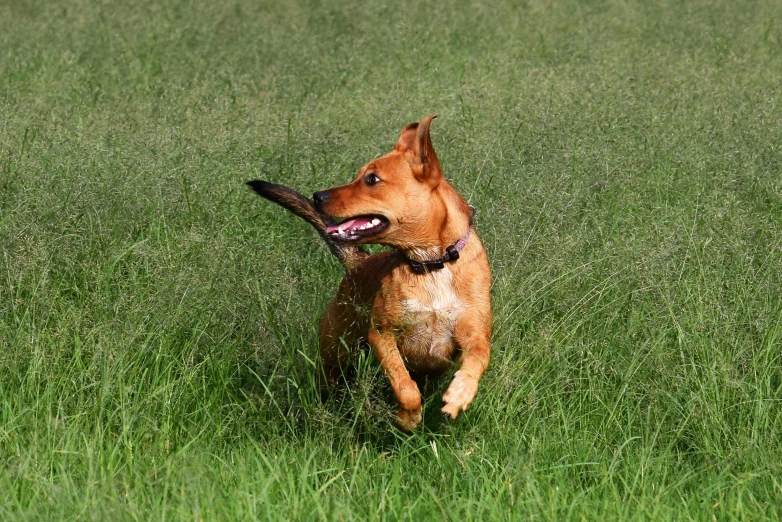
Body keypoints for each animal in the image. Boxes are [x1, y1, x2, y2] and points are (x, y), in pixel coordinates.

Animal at [248, 116, 494, 428]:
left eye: (372, 179)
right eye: (359, 175)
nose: (317, 196)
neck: (431, 265)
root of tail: (359, 263)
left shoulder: (474, 333)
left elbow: (479, 357)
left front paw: (460, 395)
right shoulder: (382, 334)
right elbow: (403, 384)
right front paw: (407, 419)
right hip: (334, 356)